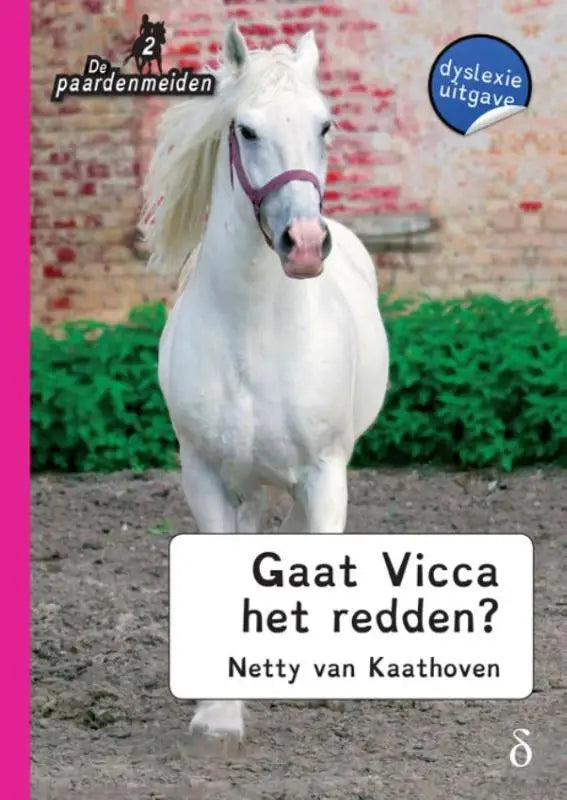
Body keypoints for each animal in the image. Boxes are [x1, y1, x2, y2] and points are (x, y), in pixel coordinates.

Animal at [142, 23, 389, 740]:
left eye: (325, 125)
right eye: (246, 130)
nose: (303, 243)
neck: (254, 330)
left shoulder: (325, 472)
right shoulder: (202, 473)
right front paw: (218, 714)